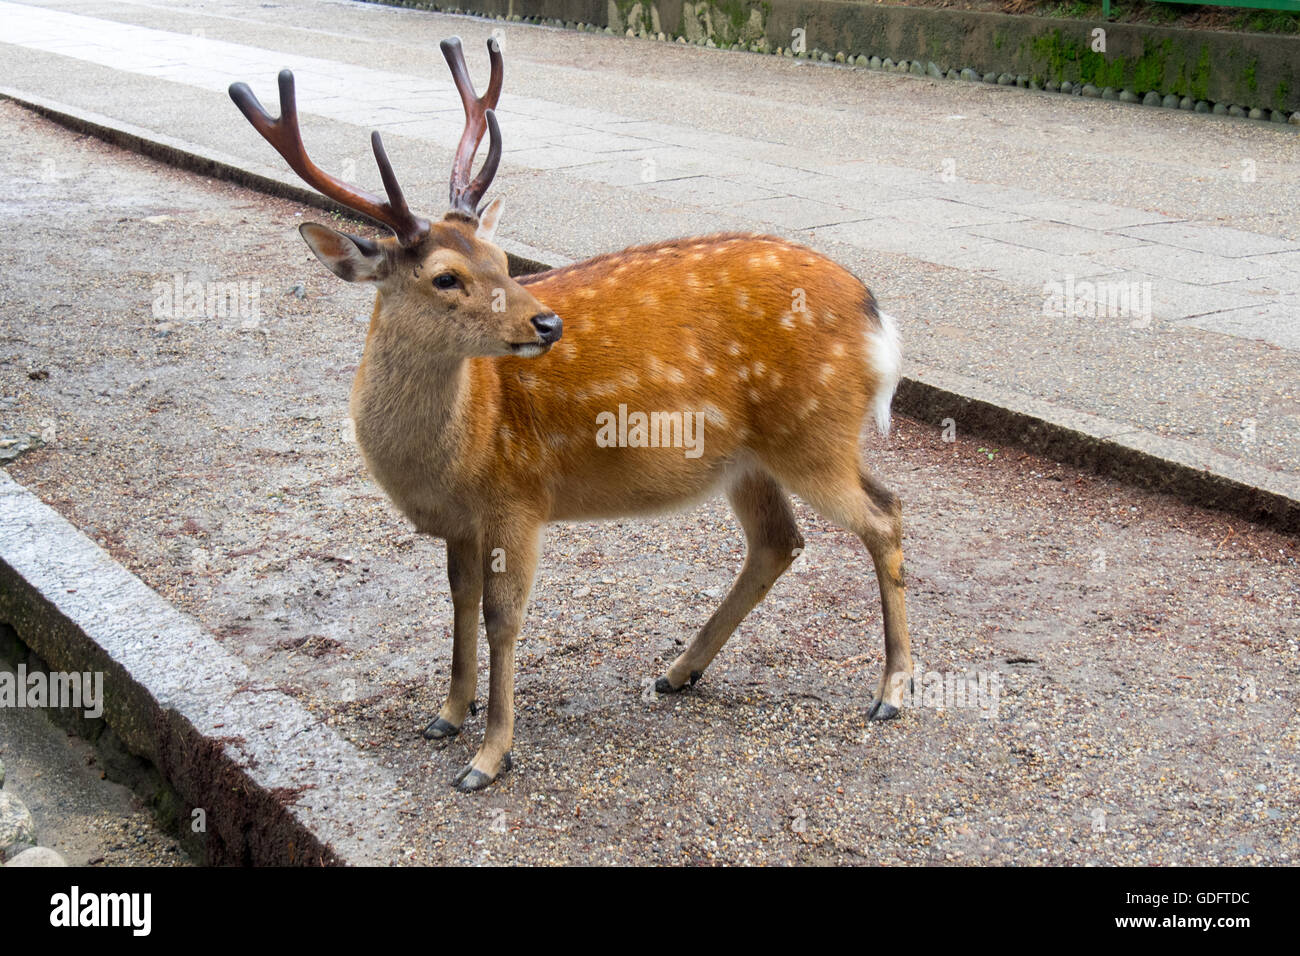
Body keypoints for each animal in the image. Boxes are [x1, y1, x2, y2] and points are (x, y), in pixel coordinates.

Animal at [229, 36, 912, 792]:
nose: (548, 322)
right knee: (779, 541)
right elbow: (458, 599)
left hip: (813, 431)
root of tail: (877, 318)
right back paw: (678, 671)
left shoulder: (518, 497)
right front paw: (447, 713)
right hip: (750, 458)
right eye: (446, 276)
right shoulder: (461, 521)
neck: (448, 458)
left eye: (502, 258)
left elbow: (502, 615)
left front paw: (488, 757)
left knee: (884, 514)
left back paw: (891, 691)